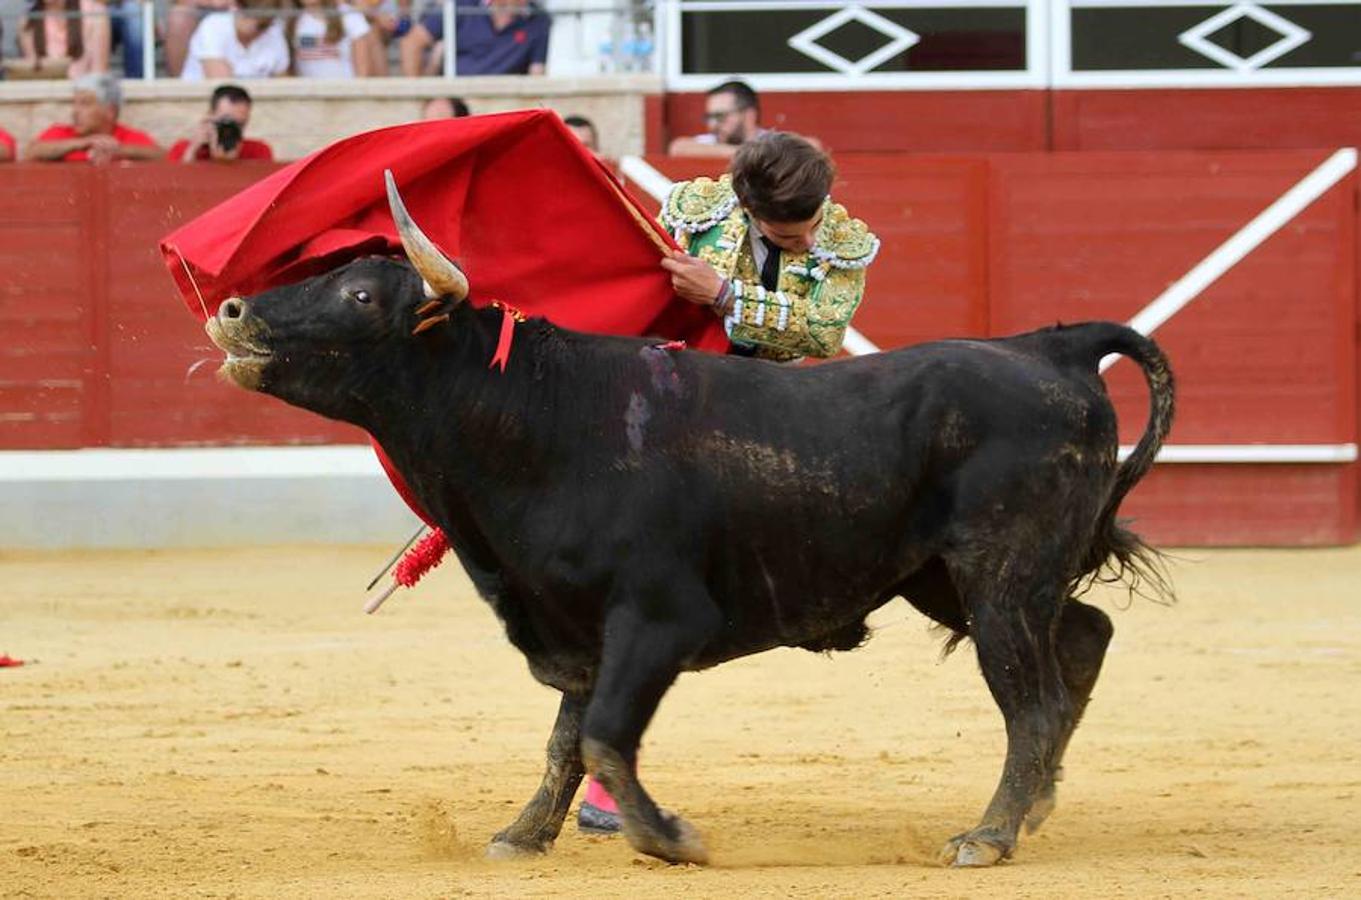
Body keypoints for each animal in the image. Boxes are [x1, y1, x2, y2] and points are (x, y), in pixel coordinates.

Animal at [204, 254, 1170, 871]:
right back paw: (1034, 807)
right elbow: (566, 741)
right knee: (1082, 637)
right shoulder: (577, 625)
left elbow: (601, 736)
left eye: (362, 292)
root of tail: (1044, 346)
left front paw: (670, 840)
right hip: (945, 578)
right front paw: (521, 836)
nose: (235, 311)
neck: (535, 417)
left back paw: (987, 837)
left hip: (998, 573)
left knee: (1030, 700)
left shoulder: (657, 618)